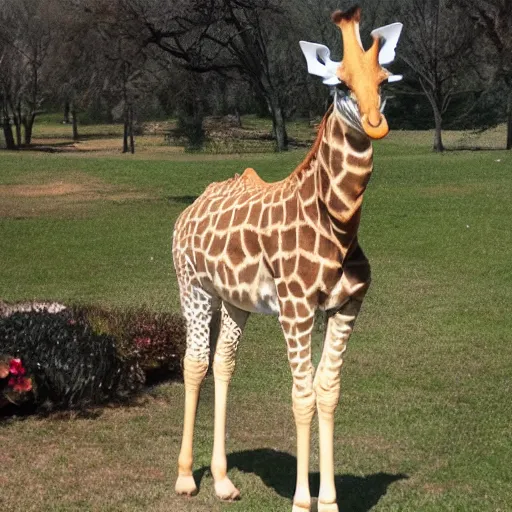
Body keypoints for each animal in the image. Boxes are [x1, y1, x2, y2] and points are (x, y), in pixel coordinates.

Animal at [174, 6, 402, 510]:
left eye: (383, 81)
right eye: (340, 85)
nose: (376, 123)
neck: (339, 227)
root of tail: (189, 209)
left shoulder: (347, 306)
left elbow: (327, 392)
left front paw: (330, 501)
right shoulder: (295, 310)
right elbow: (302, 397)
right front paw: (302, 500)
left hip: (233, 299)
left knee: (223, 363)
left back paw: (223, 481)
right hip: (192, 287)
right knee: (194, 362)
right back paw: (184, 478)